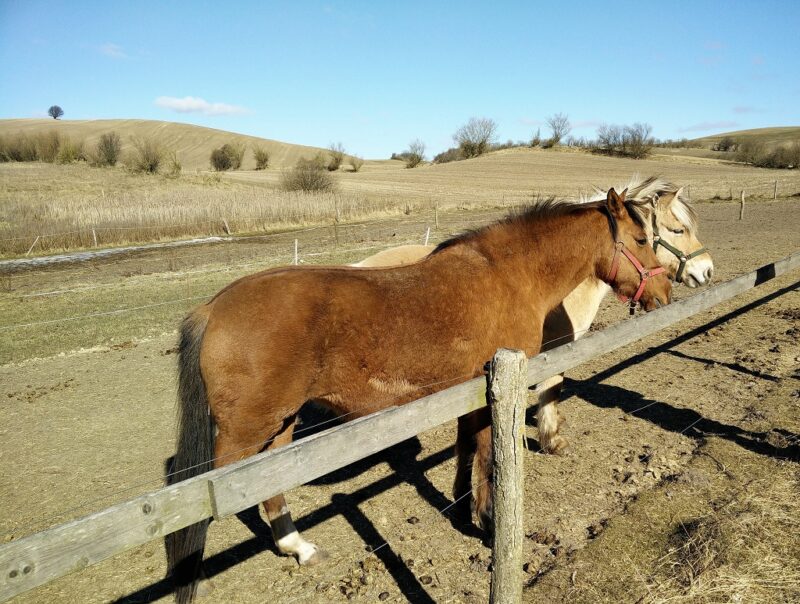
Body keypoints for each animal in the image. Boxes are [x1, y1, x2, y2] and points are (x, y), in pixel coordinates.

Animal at [165, 187, 672, 603]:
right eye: (641, 239)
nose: (666, 290)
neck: (510, 276)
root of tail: (213, 307)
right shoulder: (496, 395)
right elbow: (488, 456)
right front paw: (489, 522)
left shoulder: (470, 394)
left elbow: (467, 448)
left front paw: (463, 506)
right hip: (245, 432)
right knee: (194, 501)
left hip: (280, 426)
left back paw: (298, 547)